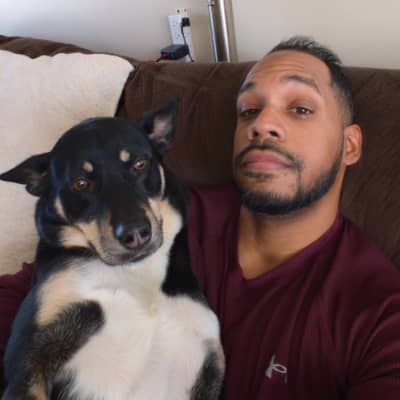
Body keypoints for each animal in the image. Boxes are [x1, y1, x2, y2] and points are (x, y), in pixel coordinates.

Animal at [0, 98, 224, 399]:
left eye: (140, 164)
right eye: (81, 183)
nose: (136, 234)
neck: (135, 274)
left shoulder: (207, 361)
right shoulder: (30, 360)